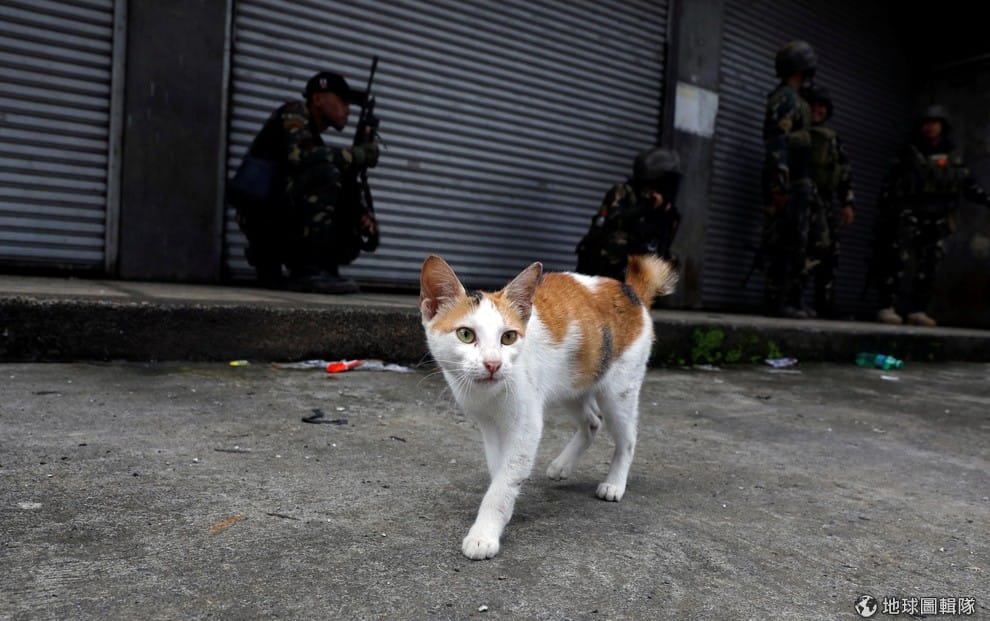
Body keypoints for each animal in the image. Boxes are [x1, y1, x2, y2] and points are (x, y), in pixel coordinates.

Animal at [419, 253, 677, 560]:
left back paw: (614, 483)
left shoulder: (526, 425)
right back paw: (563, 465)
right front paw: (503, 511)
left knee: (627, 438)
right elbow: (500, 470)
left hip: (618, 391)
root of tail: (631, 291)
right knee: (592, 422)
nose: (493, 364)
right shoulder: (490, 425)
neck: (489, 394)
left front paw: (484, 533)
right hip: (573, 386)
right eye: (466, 335)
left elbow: (504, 480)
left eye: (508, 337)